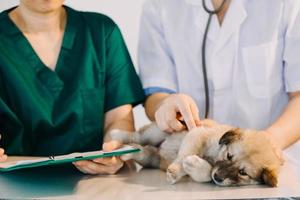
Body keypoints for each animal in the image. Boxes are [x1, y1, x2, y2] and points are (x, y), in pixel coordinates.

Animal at [109, 119, 282, 187]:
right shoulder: (197, 133)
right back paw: (117, 135)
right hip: (157, 132)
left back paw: (127, 151)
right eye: (229, 156)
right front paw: (177, 169)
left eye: (243, 173)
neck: (214, 155)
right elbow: (185, 154)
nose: (218, 178)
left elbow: (205, 173)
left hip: (152, 158)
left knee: (142, 151)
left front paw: (194, 165)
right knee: (137, 136)